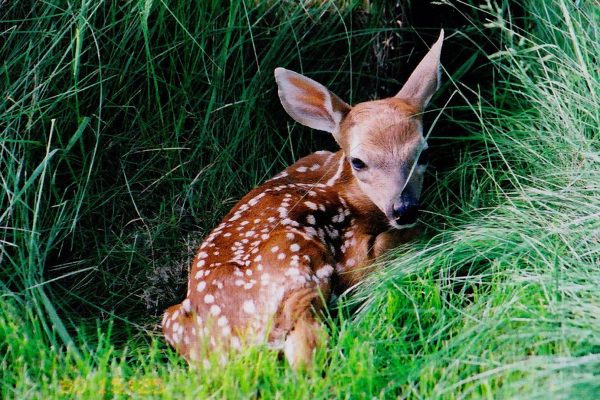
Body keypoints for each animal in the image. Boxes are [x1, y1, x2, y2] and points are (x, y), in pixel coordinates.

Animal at [162, 29, 442, 370]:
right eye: (358, 161)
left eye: (424, 153)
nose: (404, 208)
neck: (342, 184)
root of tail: (241, 344)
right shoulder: (350, 252)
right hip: (299, 267)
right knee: (307, 352)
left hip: (172, 319)